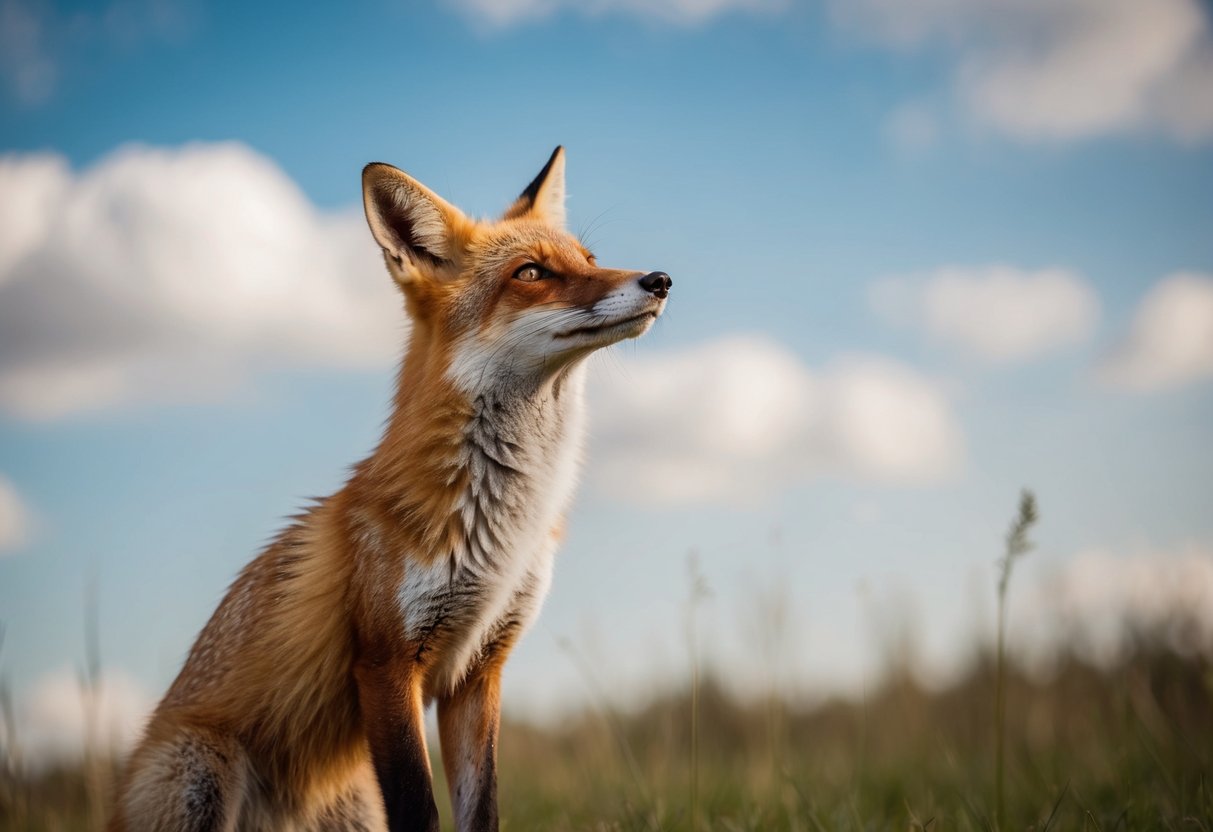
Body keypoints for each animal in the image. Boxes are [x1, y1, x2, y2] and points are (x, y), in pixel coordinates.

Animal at [107, 147, 671, 832]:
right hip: (199, 774)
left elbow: (481, 810)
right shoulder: (385, 664)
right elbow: (419, 809)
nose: (659, 280)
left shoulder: (479, 671)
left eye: (591, 260)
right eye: (532, 273)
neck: (501, 530)